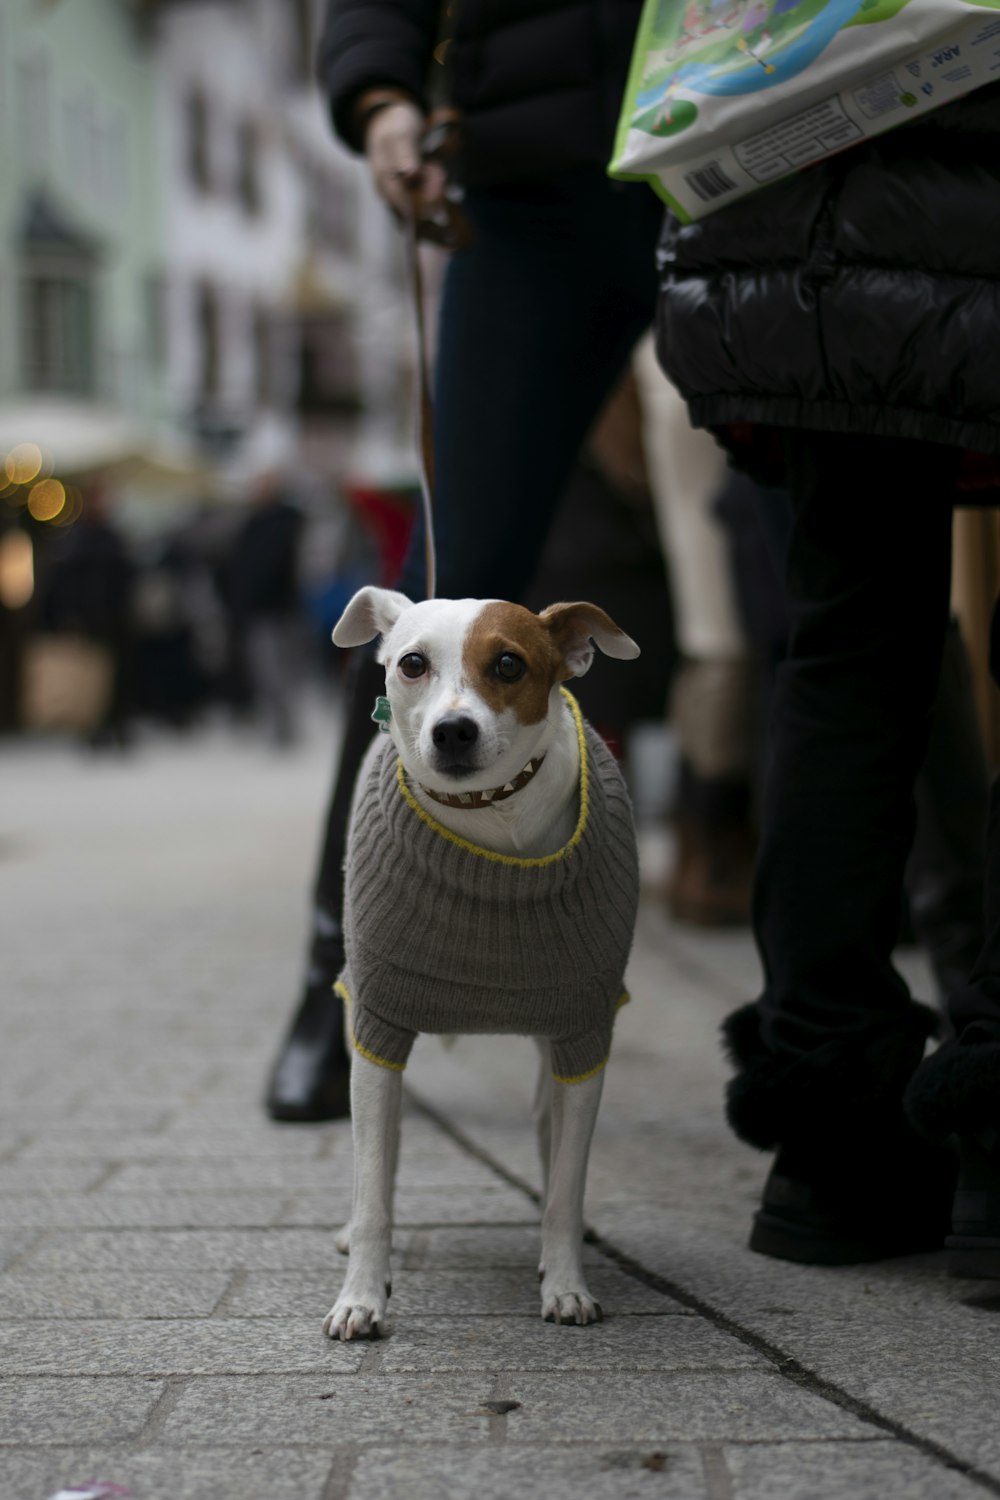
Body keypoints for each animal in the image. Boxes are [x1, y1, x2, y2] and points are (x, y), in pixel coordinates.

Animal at [325, 585, 644, 1338]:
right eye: (412, 663)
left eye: (508, 663)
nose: (453, 731)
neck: (488, 826)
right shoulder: (378, 1031)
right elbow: (373, 1183)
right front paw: (362, 1297)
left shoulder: (584, 1034)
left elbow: (566, 1184)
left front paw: (566, 1283)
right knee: (383, 1153)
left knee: (549, 1136)